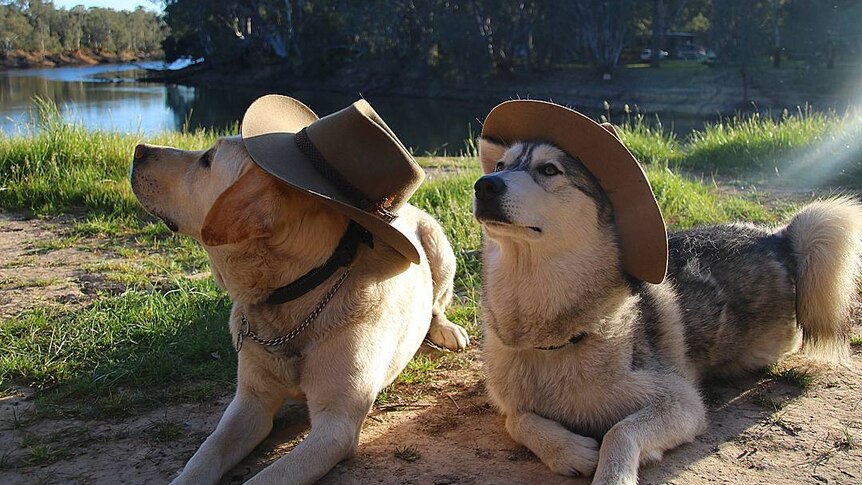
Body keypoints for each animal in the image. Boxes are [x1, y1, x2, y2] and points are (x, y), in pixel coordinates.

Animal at [476, 134, 860, 482]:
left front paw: (611, 475)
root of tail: (776, 237)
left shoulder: (682, 403)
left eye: (548, 169)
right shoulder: (511, 402)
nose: (484, 186)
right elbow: (517, 419)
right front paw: (570, 450)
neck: (551, 337)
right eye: (500, 165)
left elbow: (620, 431)